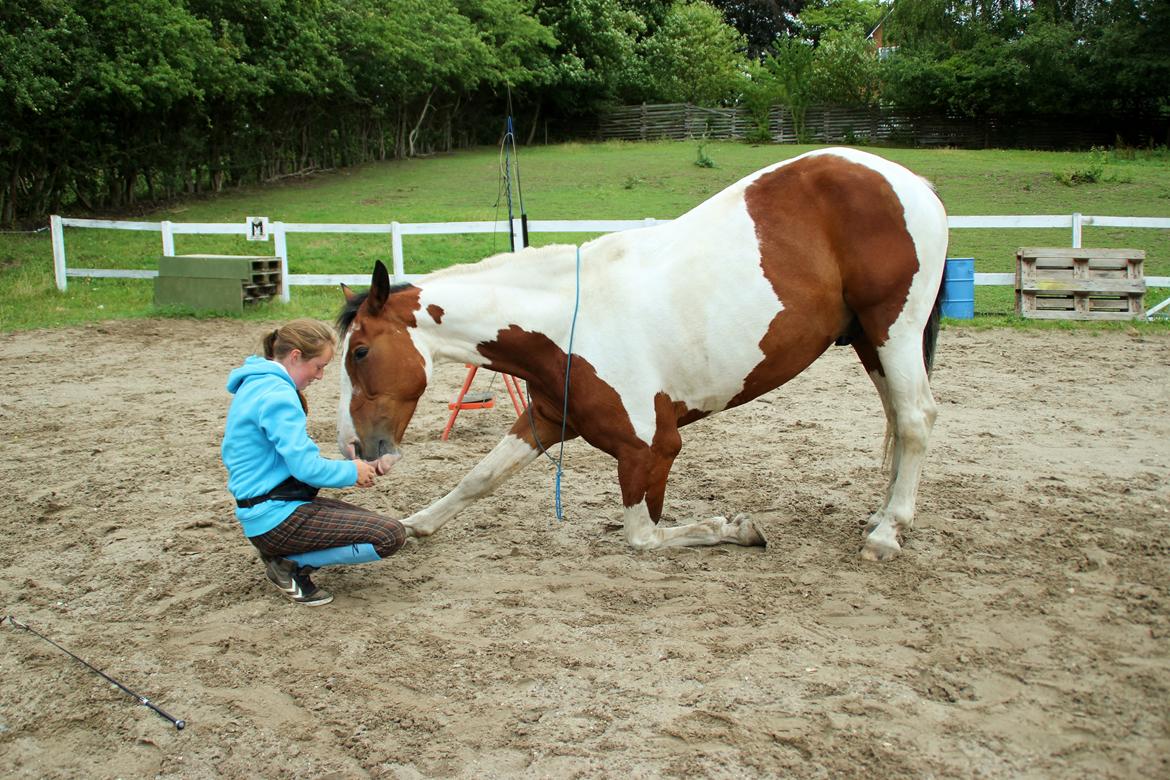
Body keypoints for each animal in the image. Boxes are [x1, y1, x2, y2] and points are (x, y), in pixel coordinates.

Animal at [334, 147, 945, 561]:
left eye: (360, 352)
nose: (355, 447)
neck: (566, 323)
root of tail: (911, 181)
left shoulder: (650, 449)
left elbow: (643, 535)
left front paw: (735, 528)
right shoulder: (545, 418)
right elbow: (479, 478)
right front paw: (416, 523)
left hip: (893, 327)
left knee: (915, 418)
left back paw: (888, 532)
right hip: (868, 340)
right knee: (897, 417)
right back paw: (882, 515)